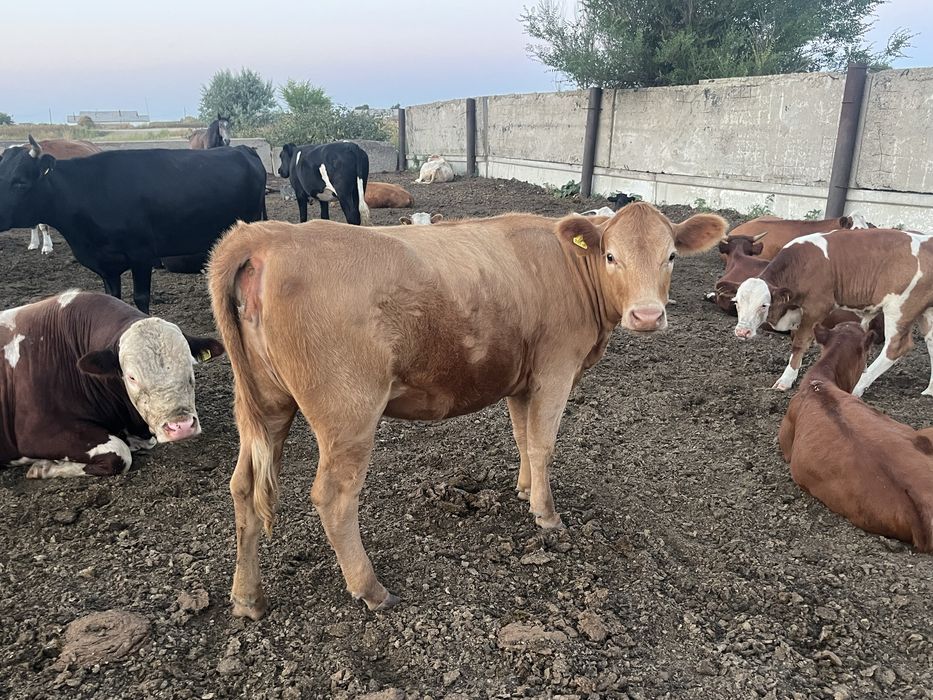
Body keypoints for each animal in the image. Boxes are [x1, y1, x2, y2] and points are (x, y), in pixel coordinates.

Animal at [0, 136, 267, 313]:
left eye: (20, 182)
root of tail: (243, 149)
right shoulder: (106, 265)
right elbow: (113, 297)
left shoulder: (141, 255)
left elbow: (140, 297)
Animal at [0, 291, 224, 479]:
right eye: (131, 377)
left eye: (189, 364)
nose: (181, 426)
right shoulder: (36, 433)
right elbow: (119, 454)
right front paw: (44, 467)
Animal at [207, 203, 727, 617]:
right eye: (611, 256)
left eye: (671, 256)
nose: (647, 315)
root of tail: (267, 234)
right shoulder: (556, 368)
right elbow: (543, 443)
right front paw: (547, 516)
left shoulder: (521, 378)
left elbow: (523, 437)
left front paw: (524, 490)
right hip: (348, 412)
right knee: (334, 497)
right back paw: (371, 589)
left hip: (266, 405)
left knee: (244, 488)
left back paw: (247, 598)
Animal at [733, 228, 933, 395]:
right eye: (737, 303)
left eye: (763, 305)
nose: (742, 331)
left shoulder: (817, 307)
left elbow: (799, 344)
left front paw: (786, 380)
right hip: (927, 313)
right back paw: (929, 391)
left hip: (899, 308)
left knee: (895, 348)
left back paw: (859, 386)